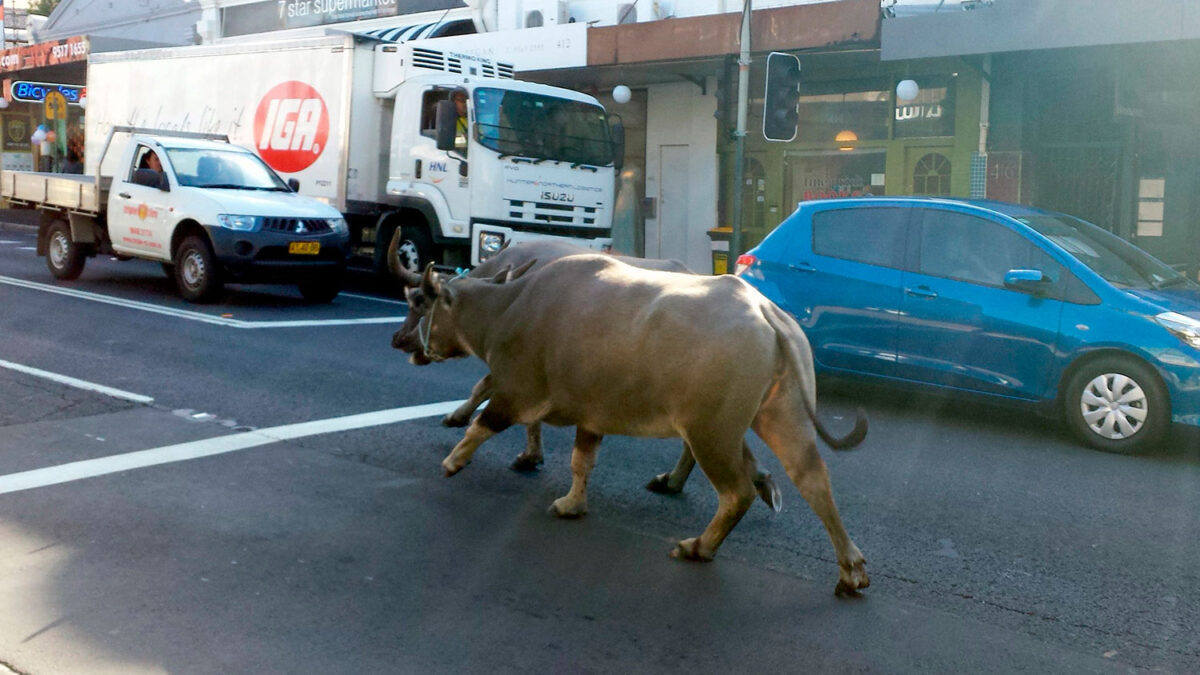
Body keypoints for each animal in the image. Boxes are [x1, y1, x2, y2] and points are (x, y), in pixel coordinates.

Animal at [388, 239, 782, 506]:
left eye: (418, 301)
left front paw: (458, 418)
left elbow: (485, 387)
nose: (399, 340)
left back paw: (677, 480)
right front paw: (531, 455)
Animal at [417, 253, 868, 593]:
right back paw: (851, 569)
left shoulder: (518, 390)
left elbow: (486, 420)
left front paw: (454, 460)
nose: (408, 344)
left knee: (737, 492)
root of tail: (766, 312)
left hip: (712, 431)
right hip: (782, 414)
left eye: (421, 303)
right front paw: (572, 504)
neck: (511, 307)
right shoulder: (592, 413)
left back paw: (699, 546)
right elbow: (581, 461)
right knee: (812, 479)